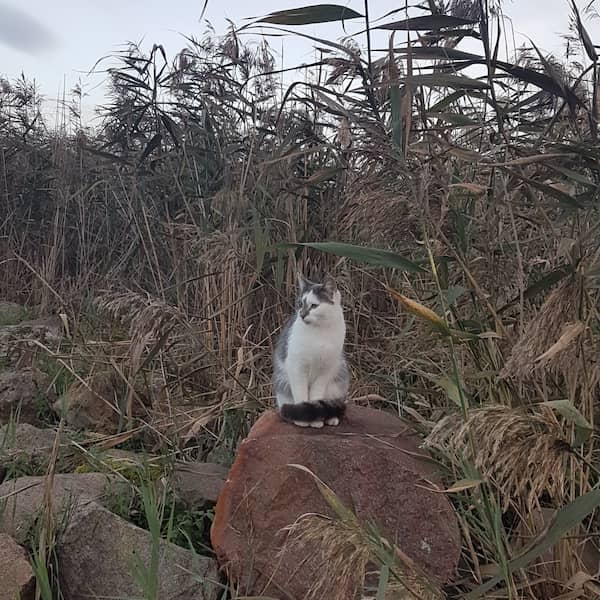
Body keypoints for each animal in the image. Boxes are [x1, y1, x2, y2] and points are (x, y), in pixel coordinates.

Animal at [270, 272, 350, 426]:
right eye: (300, 304)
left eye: (314, 306)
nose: (302, 314)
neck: (319, 333)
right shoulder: (297, 367)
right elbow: (301, 395)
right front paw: (302, 420)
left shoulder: (325, 370)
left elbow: (315, 397)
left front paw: (314, 420)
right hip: (282, 385)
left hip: (337, 382)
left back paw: (330, 418)